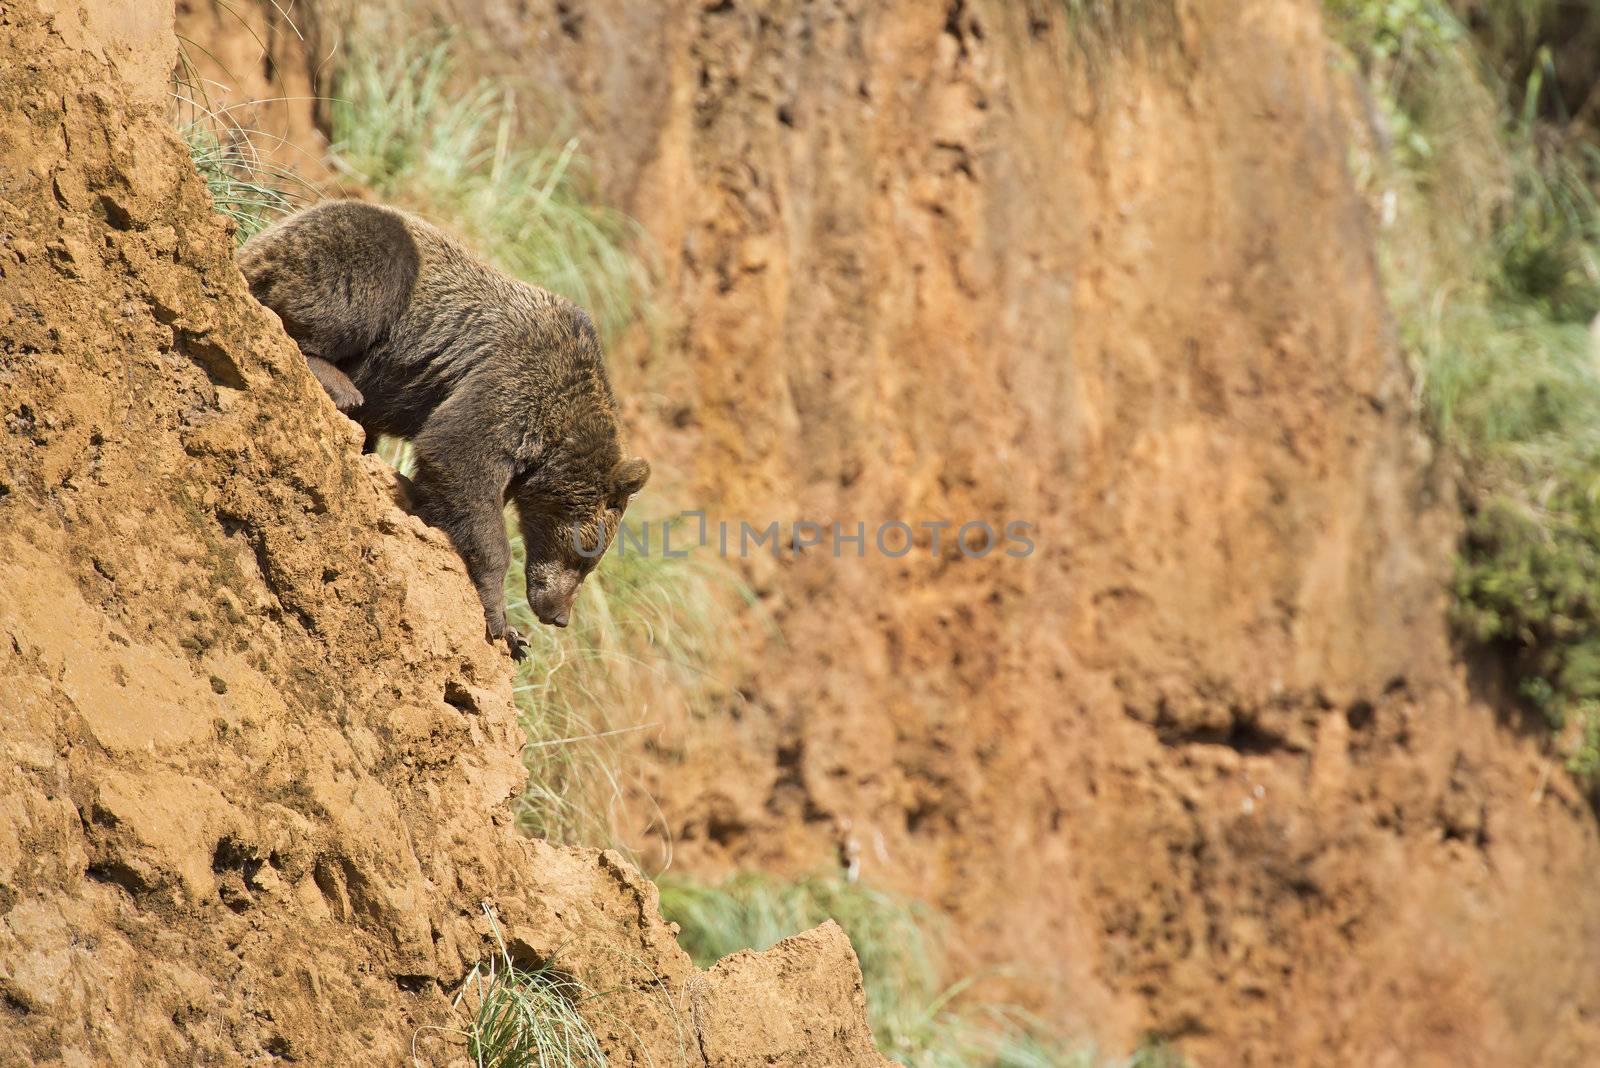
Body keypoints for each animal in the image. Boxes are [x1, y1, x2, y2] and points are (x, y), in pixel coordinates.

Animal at [233, 195, 646, 655]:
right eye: (586, 555)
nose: (558, 615)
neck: (558, 434)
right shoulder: (512, 383)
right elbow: (459, 456)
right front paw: (498, 615)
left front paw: (515, 635)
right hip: (342, 254)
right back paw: (336, 381)